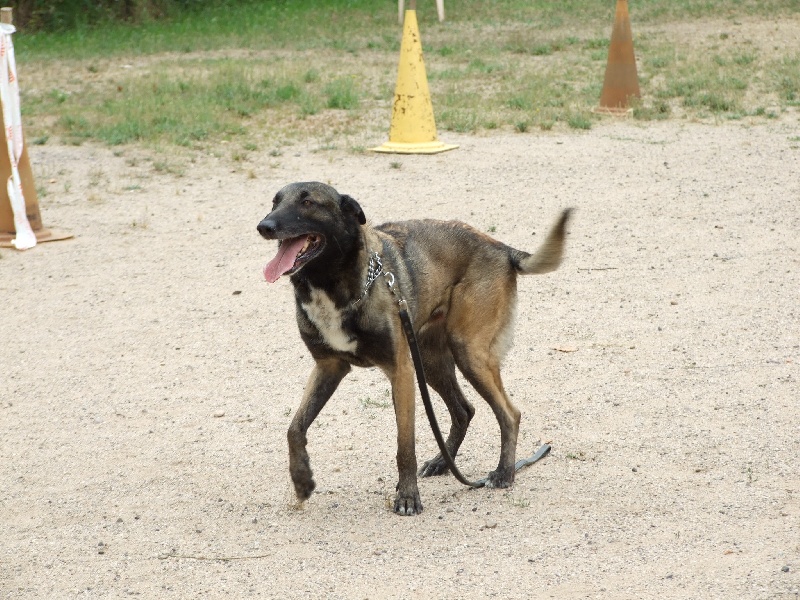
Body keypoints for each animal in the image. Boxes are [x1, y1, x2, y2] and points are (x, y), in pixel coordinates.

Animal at [256, 183, 568, 516]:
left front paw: (407, 496)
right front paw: (301, 479)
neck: (332, 285)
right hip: (430, 361)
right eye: (274, 202)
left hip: (467, 353)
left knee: (509, 413)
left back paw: (504, 472)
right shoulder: (329, 367)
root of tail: (500, 247)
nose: (264, 226)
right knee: (464, 410)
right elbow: (294, 428)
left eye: (307, 202)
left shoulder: (400, 372)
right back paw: (443, 462)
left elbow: (405, 445)